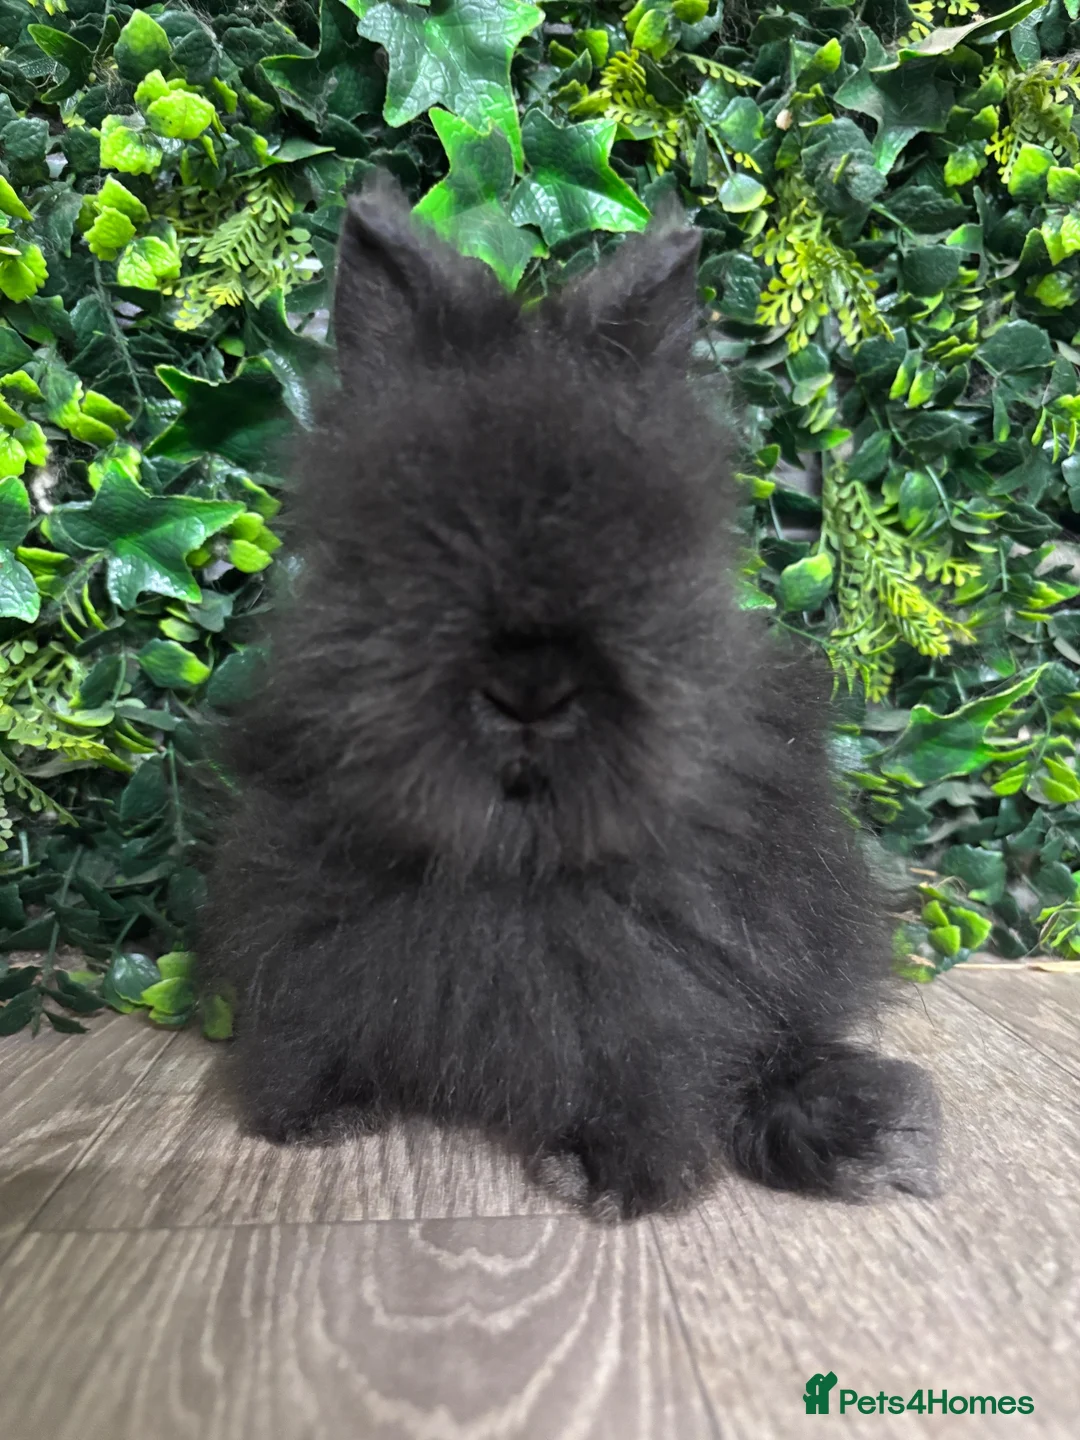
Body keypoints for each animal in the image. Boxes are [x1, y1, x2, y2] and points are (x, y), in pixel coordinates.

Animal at [197, 172, 940, 1220]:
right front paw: (316, 1116)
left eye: (651, 542)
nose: (529, 689)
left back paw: (871, 1137)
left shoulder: (659, 970)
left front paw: (606, 1176)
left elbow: (638, 1050)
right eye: (406, 539)